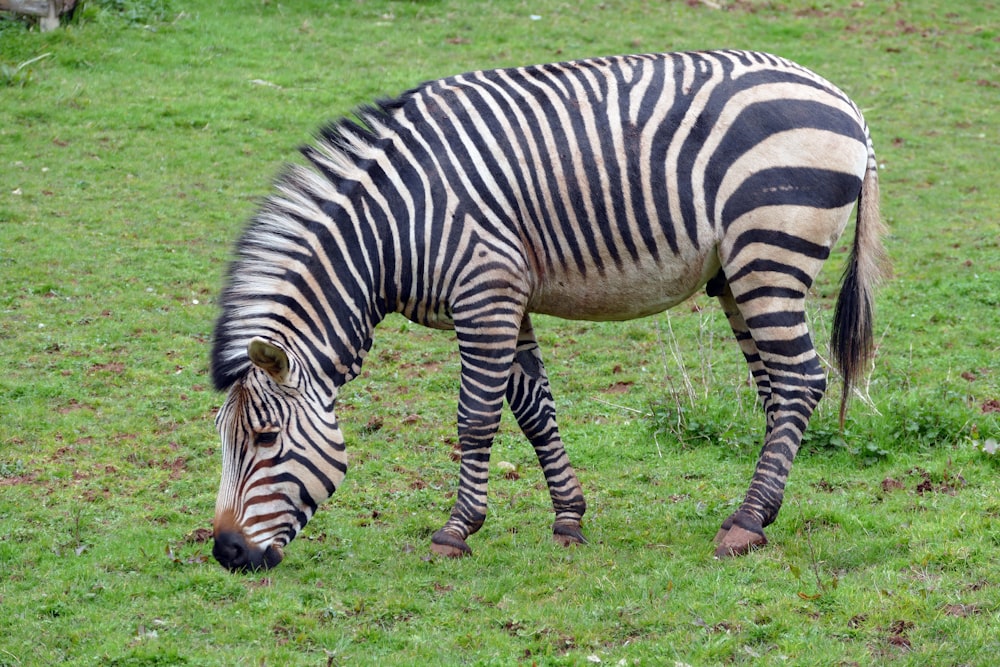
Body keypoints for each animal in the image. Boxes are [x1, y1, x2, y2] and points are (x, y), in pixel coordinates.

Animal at [209, 51, 884, 576]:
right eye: (224, 438)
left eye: (266, 439)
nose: (226, 553)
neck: (392, 226)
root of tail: (843, 99)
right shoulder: (506, 300)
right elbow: (534, 412)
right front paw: (569, 520)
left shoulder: (485, 293)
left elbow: (476, 418)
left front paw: (455, 531)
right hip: (738, 273)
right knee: (775, 389)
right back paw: (762, 513)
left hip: (770, 252)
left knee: (800, 380)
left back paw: (744, 523)